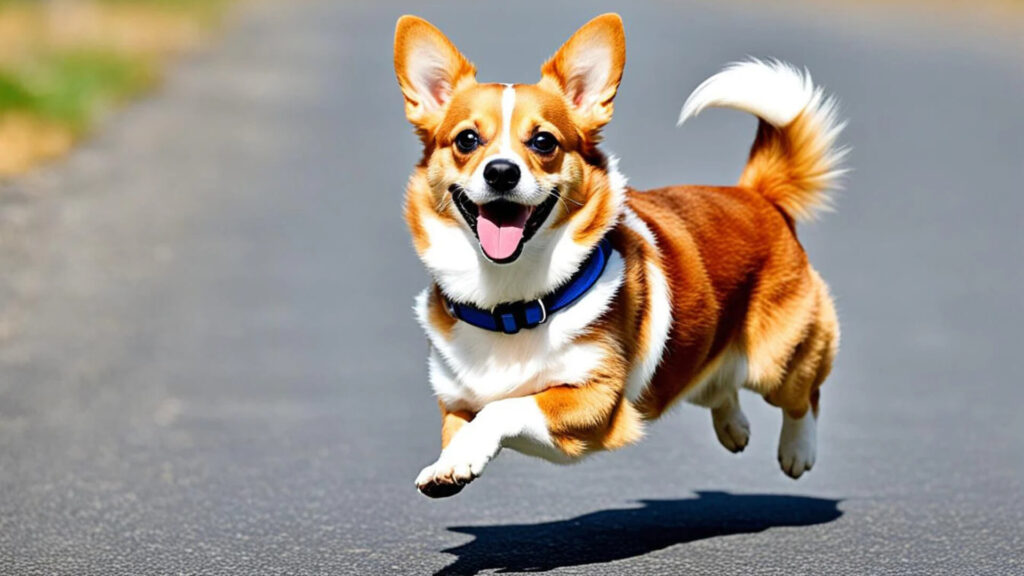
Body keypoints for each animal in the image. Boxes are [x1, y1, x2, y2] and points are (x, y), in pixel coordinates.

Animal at [395, 14, 843, 498]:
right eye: (467, 140)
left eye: (543, 142)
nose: (501, 172)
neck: (511, 307)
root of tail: (758, 194)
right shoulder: (456, 400)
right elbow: (464, 426)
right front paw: (450, 463)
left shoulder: (595, 398)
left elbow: (506, 407)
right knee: (718, 387)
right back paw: (734, 428)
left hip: (776, 362)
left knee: (805, 394)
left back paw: (798, 450)